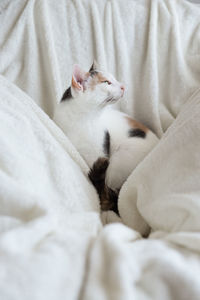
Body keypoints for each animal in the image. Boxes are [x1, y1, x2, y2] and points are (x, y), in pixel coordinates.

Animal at [53, 62, 159, 213]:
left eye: (114, 79)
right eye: (106, 82)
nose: (123, 86)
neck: (81, 120)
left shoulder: (99, 151)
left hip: (120, 159)